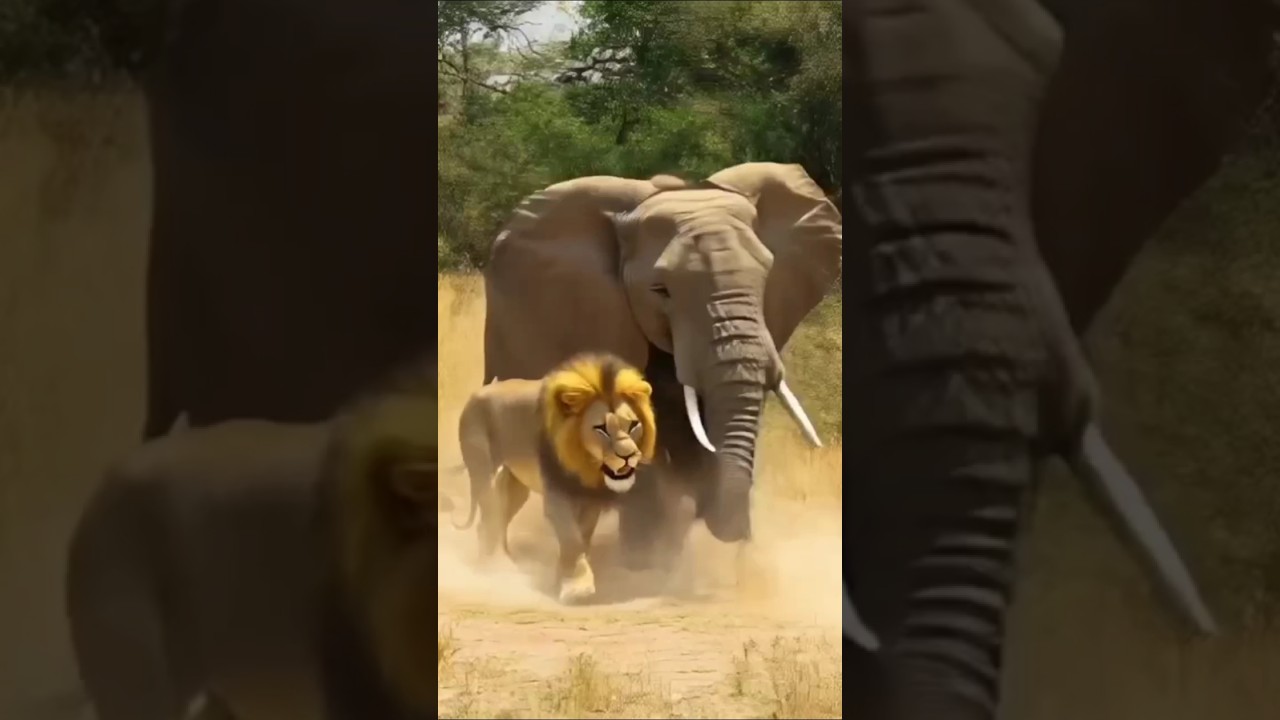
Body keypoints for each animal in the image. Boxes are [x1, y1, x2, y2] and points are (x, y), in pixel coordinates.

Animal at [454, 352, 657, 604]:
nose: (629, 456)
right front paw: (577, 587)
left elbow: (583, 536)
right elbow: (571, 537)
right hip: (483, 469)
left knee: (497, 517)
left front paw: (562, 576)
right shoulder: (556, 497)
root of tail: (477, 393)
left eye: (633, 425)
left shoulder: (590, 501)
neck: (586, 464)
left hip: (516, 485)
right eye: (601, 428)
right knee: (489, 517)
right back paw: (497, 568)